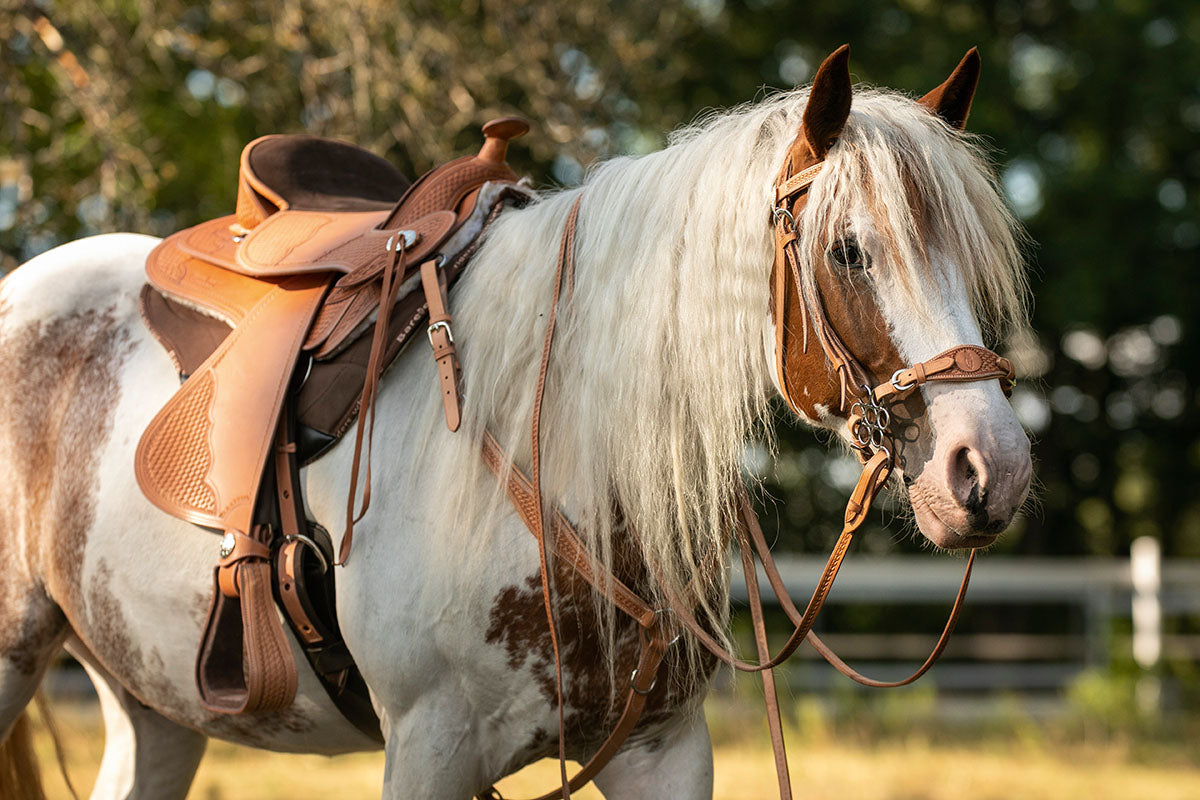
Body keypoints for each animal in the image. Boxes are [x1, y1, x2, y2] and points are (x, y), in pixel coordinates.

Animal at [0, 45, 1032, 800]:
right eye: (850, 250)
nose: (990, 469)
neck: (571, 461)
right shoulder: (429, 752)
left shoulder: (662, 749)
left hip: (156, 709)